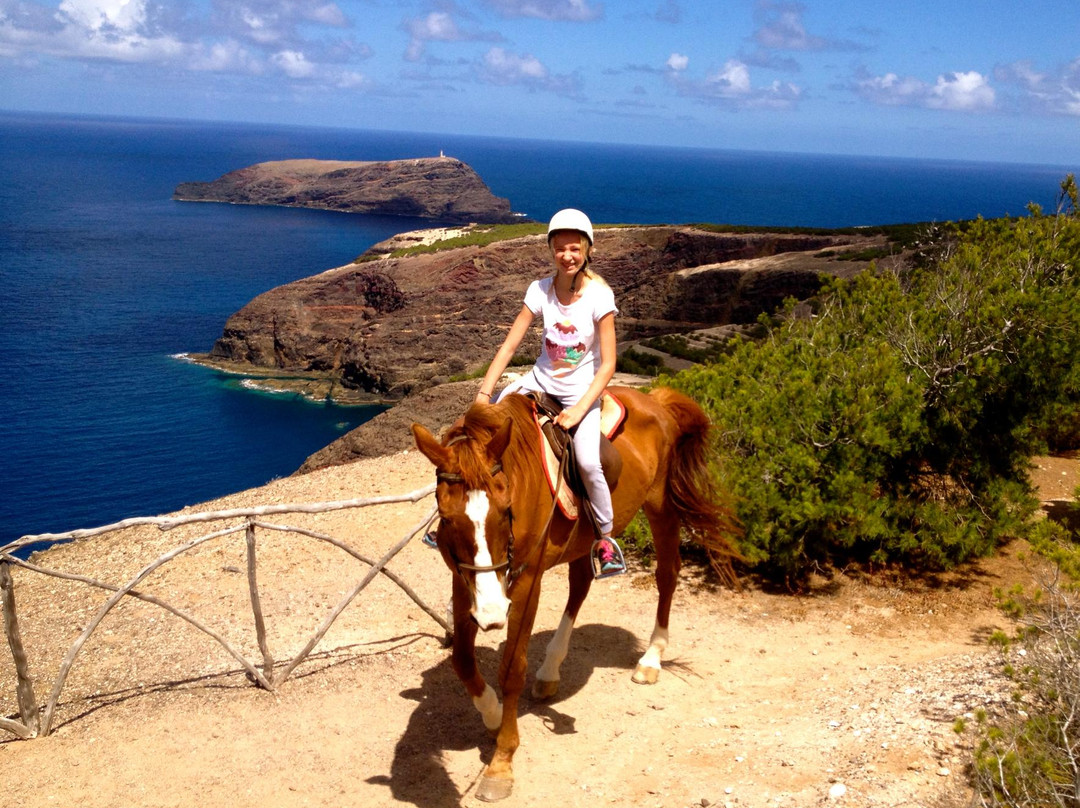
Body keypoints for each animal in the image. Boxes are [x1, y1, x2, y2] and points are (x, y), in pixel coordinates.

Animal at [408, 386, 738, 803]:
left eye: (506, 510)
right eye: (448, 518)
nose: (493, 613)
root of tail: (654, 398)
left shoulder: (527, 580)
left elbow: (511, 668)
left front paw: (501, 761)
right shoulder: (464, 581)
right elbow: (463, 661)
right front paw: (493, 714)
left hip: (661, 506)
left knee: (667, 575)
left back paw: (650, 659)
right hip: (585, 538)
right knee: (581, 583)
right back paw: (550, 670)